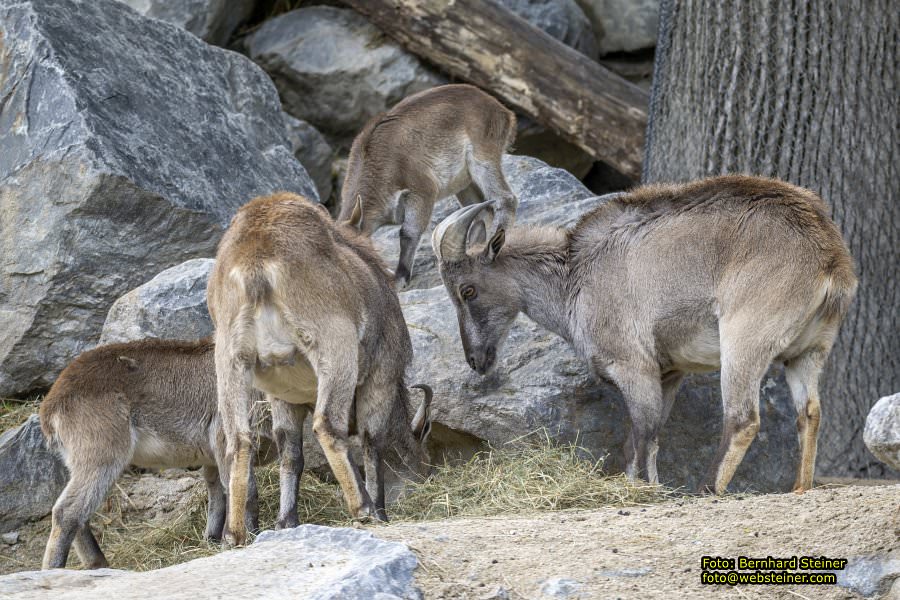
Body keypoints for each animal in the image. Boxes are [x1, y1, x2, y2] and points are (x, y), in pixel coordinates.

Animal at [39, 340, 282, 568]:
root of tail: (51, 406)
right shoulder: (226, 442)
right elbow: (245, 491)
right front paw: (246, 536)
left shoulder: (212, 459)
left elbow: (217, 495)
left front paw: (212, 538)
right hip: (101, 457)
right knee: (66, 511)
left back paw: (97, 564)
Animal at [208, 193, 432, 548]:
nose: (426, 474)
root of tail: (256, 264)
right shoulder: (381, 376)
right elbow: (372, 442)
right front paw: (380, 510)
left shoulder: (283, 395)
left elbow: (290, 453)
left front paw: (286, 521)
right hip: (334, 347)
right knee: (327, 424)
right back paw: (364, 509)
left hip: (230, 361)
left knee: (239, 441)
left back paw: (234, 534)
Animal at [340, 83, 520, 288]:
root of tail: (504, 111)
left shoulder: (422, 191)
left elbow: (408, 233)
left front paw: (400, 279)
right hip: (463, 183)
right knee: (482, 211)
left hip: (483, 158)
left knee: (505, 199)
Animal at [436, 176, 856, 494]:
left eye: (467, 290)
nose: (477, 359)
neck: (573, 277)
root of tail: (829, 259)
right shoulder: (668, 372)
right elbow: (648, 439)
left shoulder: (632, 365)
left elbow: (641, 435)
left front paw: (641, 490)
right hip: (808, 351)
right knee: (809, 413)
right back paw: (799, 488)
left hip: (744, 339)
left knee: (742, 419)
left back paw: (706, 489)